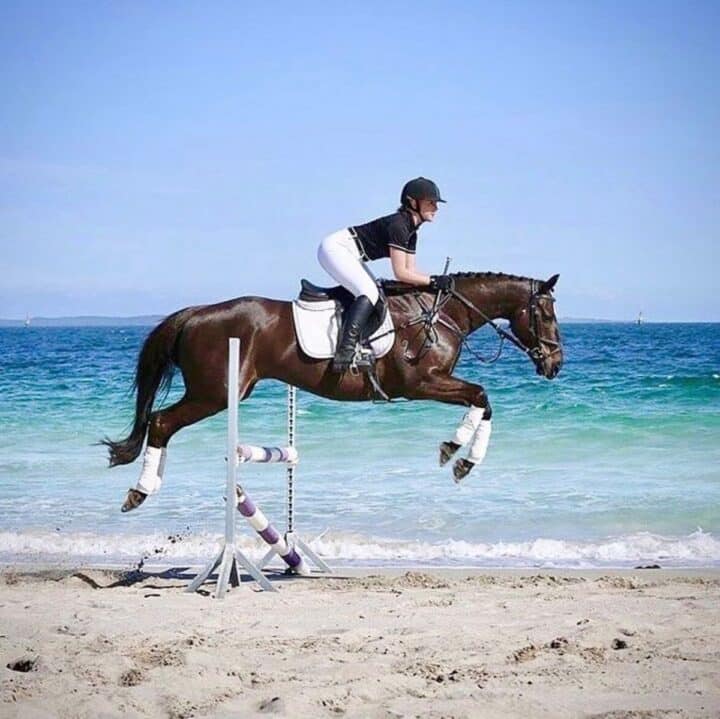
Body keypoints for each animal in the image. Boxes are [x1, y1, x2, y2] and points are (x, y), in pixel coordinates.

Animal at [103, 271, 563, 511]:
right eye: (544, 313)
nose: (555, 364)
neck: (439, 314)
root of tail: (194, 313)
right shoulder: (420, 383)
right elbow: (481, 396)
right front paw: (457, 455)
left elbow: (483, 402)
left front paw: (459, 457)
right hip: (214, 394)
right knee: (161, 422)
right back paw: (140, 491)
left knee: (159, 423)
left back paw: (146, 486)